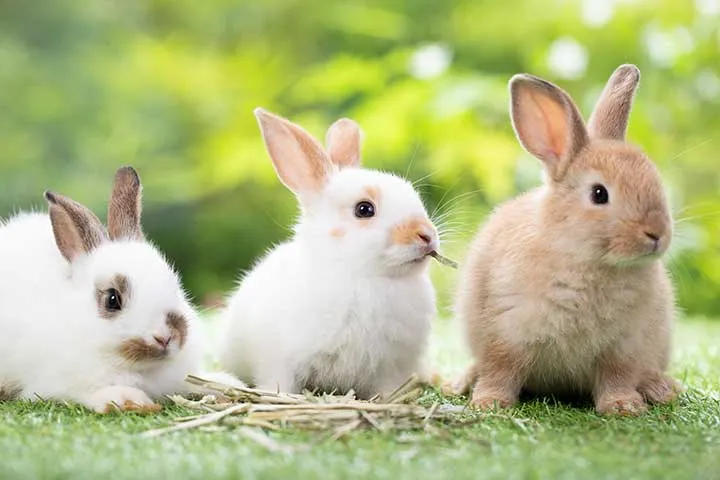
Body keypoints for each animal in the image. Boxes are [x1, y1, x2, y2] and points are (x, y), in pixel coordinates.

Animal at [0, 166, 242, 413]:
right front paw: (129, 399)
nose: (166, 338)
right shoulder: (56, 383)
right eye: (112, 299)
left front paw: (227, 384)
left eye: (175, 287)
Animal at [219, 109, 439, 399]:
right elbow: (280, 383)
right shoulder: (280, 361)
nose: (427, 235)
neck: (362, 276)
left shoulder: (391, 367)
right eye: (364, 209)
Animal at [451, 64, 682, 415]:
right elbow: (500, 371)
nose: (657, 233)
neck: (583, 258)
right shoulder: (504, 334)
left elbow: (617, 377)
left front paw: (624, 407)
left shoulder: (624, 346)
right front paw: (489, 404)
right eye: (599, 194)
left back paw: (663, 389)